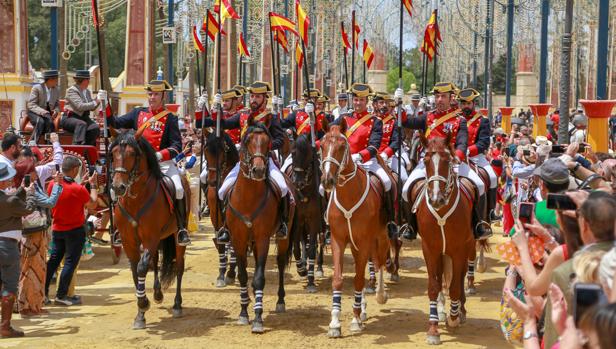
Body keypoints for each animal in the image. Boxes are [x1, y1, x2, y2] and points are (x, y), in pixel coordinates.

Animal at [109, 131, 189, 328]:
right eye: (113, 153)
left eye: (132, 154)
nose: (117, 187)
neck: (135, 200)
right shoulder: (129, 241)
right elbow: (135, 271)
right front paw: (140, 315)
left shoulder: (150, 238)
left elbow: (142, 268)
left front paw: (143, 304)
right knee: (155, 261)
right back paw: (158, 293)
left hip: (176, 237)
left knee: (179, 267)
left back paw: (177, 305)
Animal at [226, 115, 296, 332]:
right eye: (248, 140)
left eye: (267, 142)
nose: (258, 170)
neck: (248, 197)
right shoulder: (239, 240)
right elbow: (242, 275)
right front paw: (243, 312)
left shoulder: (263, 238)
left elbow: (258, 278)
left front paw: (257, 317)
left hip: (283, 237)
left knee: (281, 264)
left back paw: (280, 301)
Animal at [320, 120, 392, 338]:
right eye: (321, 145)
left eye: (342, 146)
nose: (327, 180)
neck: (349, 195)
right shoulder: (338, 240)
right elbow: (338, 280)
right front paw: (335, 323)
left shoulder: (364, 241)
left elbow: (359, 280)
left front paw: (354, 319)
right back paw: (363, 309)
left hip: (380, 237)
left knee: (379, 263)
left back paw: (379, 295)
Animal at [410, 135, 476, 344]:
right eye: (425, 161)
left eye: (447, 161)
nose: (436, 199)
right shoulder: (430, 249)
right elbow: (433, 286)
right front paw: (433, 329)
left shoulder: (458, 250)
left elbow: (454, 286)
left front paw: (454, 318)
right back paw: (440, 311)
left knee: (460, 278)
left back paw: (460, 311)